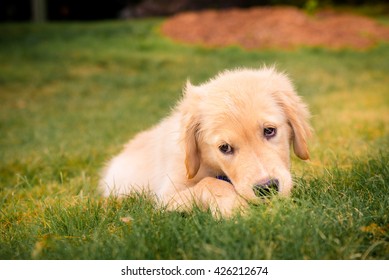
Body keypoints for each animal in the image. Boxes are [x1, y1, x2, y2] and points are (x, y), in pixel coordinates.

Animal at [99, 66, 310, 218]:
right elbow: (209, 182)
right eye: (224, 147)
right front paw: (234, 208)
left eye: (269, 131)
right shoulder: (166, 197)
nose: (267, 188)